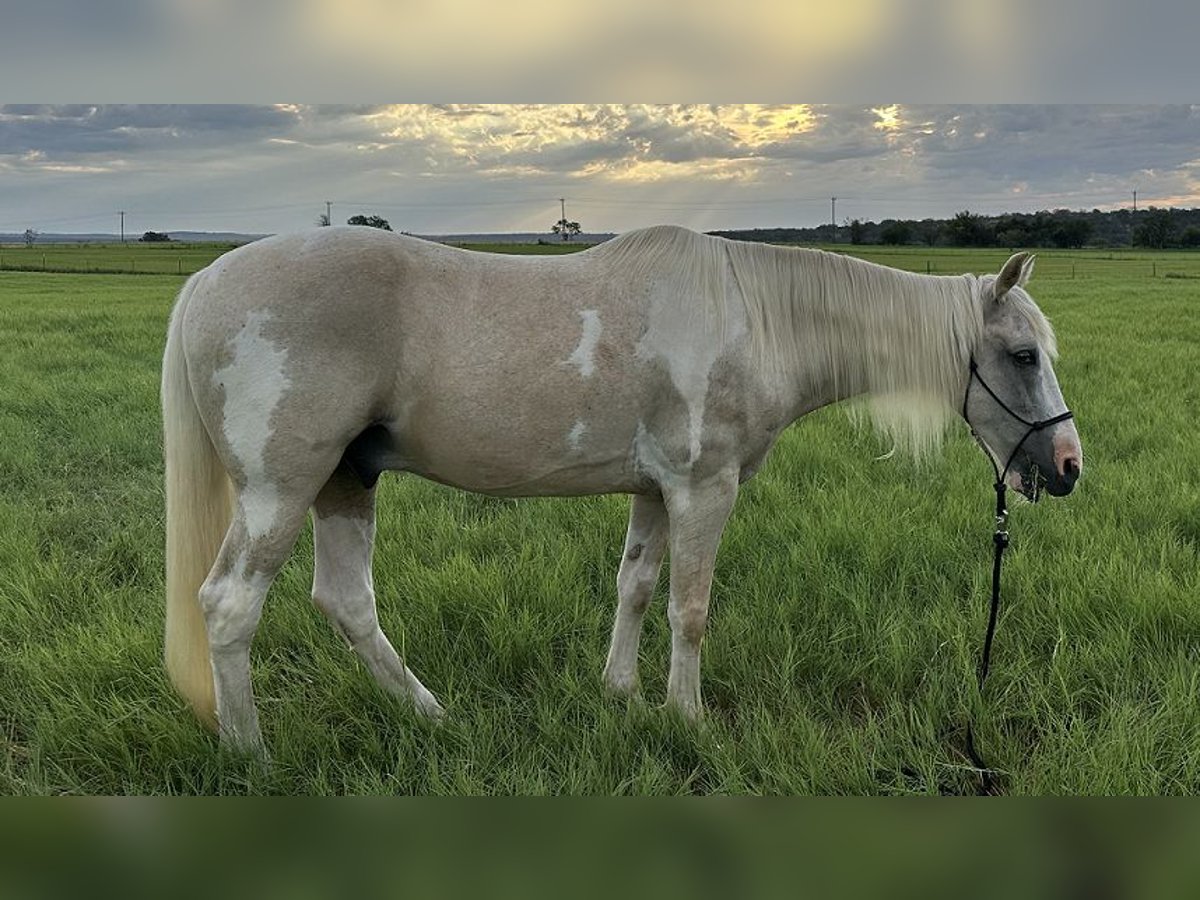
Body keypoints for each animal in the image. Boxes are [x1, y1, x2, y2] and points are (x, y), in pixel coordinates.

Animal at [162, 225, 1082, 754]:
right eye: (1022, 356)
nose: (1069, 467)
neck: (754, 318)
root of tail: (203, 283)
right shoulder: (705, 489)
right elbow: (689, 607)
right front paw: (688, 719)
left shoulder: (655, 490)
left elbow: (635, 585)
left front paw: (623, 695)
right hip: (282, 489)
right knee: (231, 605)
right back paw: (251, 755)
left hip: (347, 480)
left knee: (346, 602)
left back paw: (431, 716)